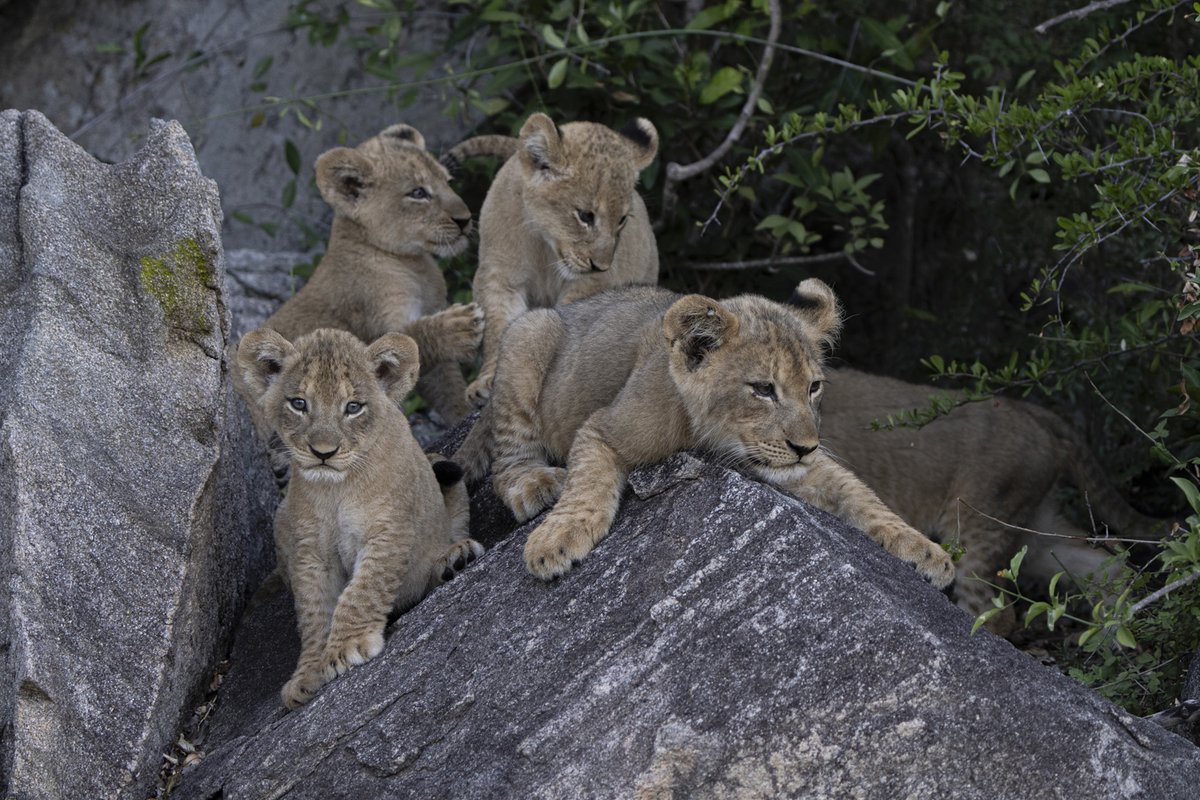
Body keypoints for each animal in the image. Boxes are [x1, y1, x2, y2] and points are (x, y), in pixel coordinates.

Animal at [234, 326, 484, 709]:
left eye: (353, 407)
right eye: (299, 404)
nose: (323, 452)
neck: (336, 491)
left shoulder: (388, 530)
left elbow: (362, 591)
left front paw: (347, 647)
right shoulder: (310, 552)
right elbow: (314, 612)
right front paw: (308, 675)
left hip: (443, 468)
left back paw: (455, 559)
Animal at [253, 122, 484, 429]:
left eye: (447, 181)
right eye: (418, 193)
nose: (465, 219)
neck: (415, 266)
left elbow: (448, 385)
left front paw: (465, 416)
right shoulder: (374, 317)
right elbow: (410, 339)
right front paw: (461, 325)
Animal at [443, 113, 661, 405]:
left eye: (622, 219)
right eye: (585, 215)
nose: (601, 265)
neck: (544, 246)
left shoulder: (592, 283)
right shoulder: (500, 276)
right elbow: (499, 327)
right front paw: (487, 382)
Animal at [453, 281, 955, 589]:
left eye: (813, 387)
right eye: (762, 389)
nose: (805, 447)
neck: (709, 436)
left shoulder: (787, 463)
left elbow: (858, 493)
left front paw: (926, 551)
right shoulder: (602, 428)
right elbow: (588, 485)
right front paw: (555, 540)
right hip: (528, 334)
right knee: (507, 460)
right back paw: (535, 483)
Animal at [818, 368, 1168, 631]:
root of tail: (1029, 410)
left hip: (977, 520)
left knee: (996, 612)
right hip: (1031, 528)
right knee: (1106, 561)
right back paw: (1113, 639)